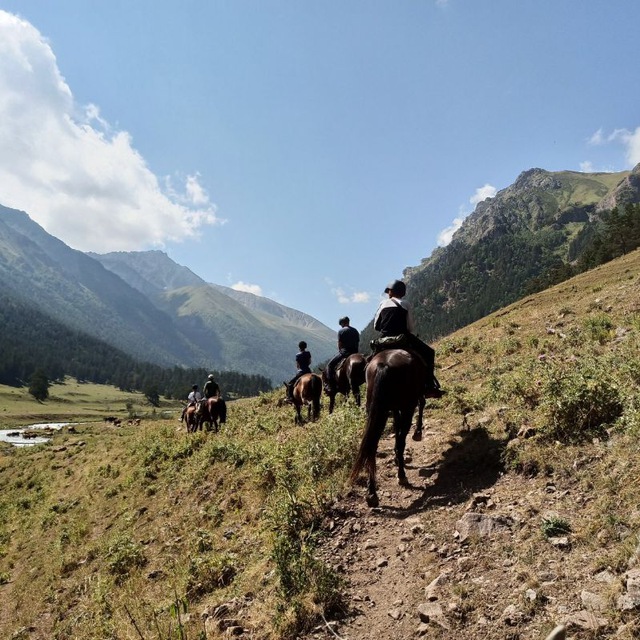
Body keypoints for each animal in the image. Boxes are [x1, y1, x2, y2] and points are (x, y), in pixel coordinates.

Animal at [350, 348, 424, 508]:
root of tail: (383, 365)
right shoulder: (409, 404)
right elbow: (421, 405)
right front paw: (417, 433)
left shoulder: (395, 409)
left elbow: (396, 428)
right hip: (406, 407)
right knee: (401, 441)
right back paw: (402, 476)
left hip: (377, 411)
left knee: (372, 446)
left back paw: (371, 493)